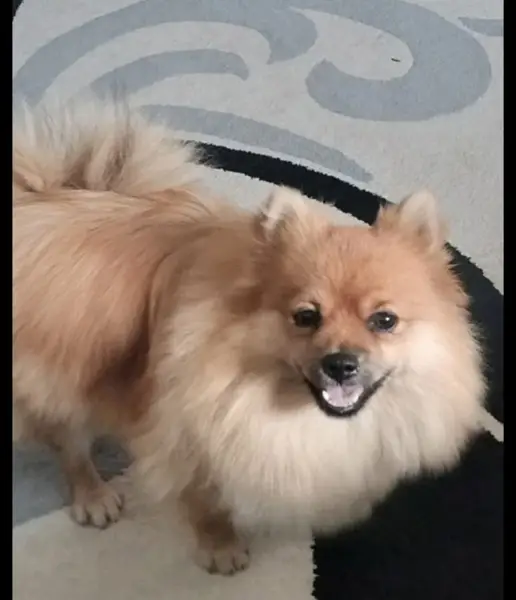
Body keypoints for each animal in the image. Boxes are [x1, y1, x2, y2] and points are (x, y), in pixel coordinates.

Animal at [13, 97, 485, 575]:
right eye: (306, 316)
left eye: (384, 320)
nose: (340, 364)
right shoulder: (189, 438)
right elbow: (206, 502)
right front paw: (221, 547)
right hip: (55, 383)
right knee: (66, 441)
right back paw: (93, 494)